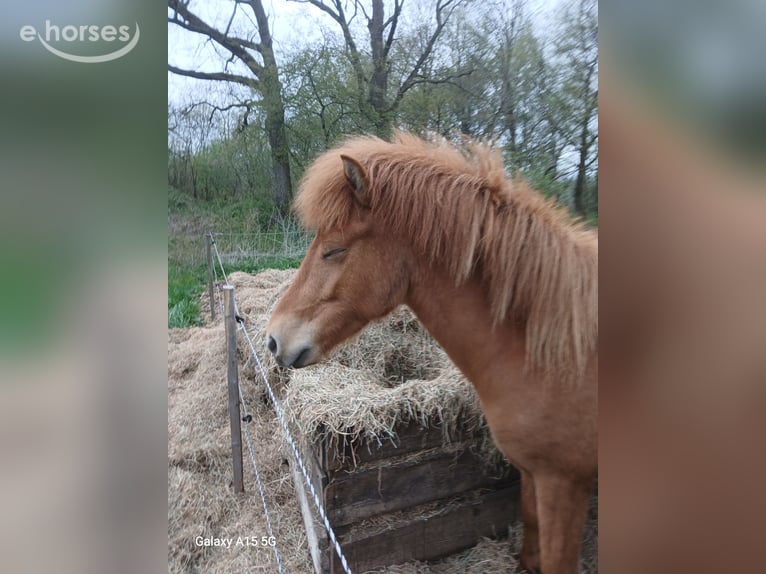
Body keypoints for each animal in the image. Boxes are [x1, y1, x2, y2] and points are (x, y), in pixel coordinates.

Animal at [267, 131, 598, 574]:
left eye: (333, 250)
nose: (272, 339)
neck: (550, 351)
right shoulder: (533, 475)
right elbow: (531, 542)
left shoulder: (563, 483)